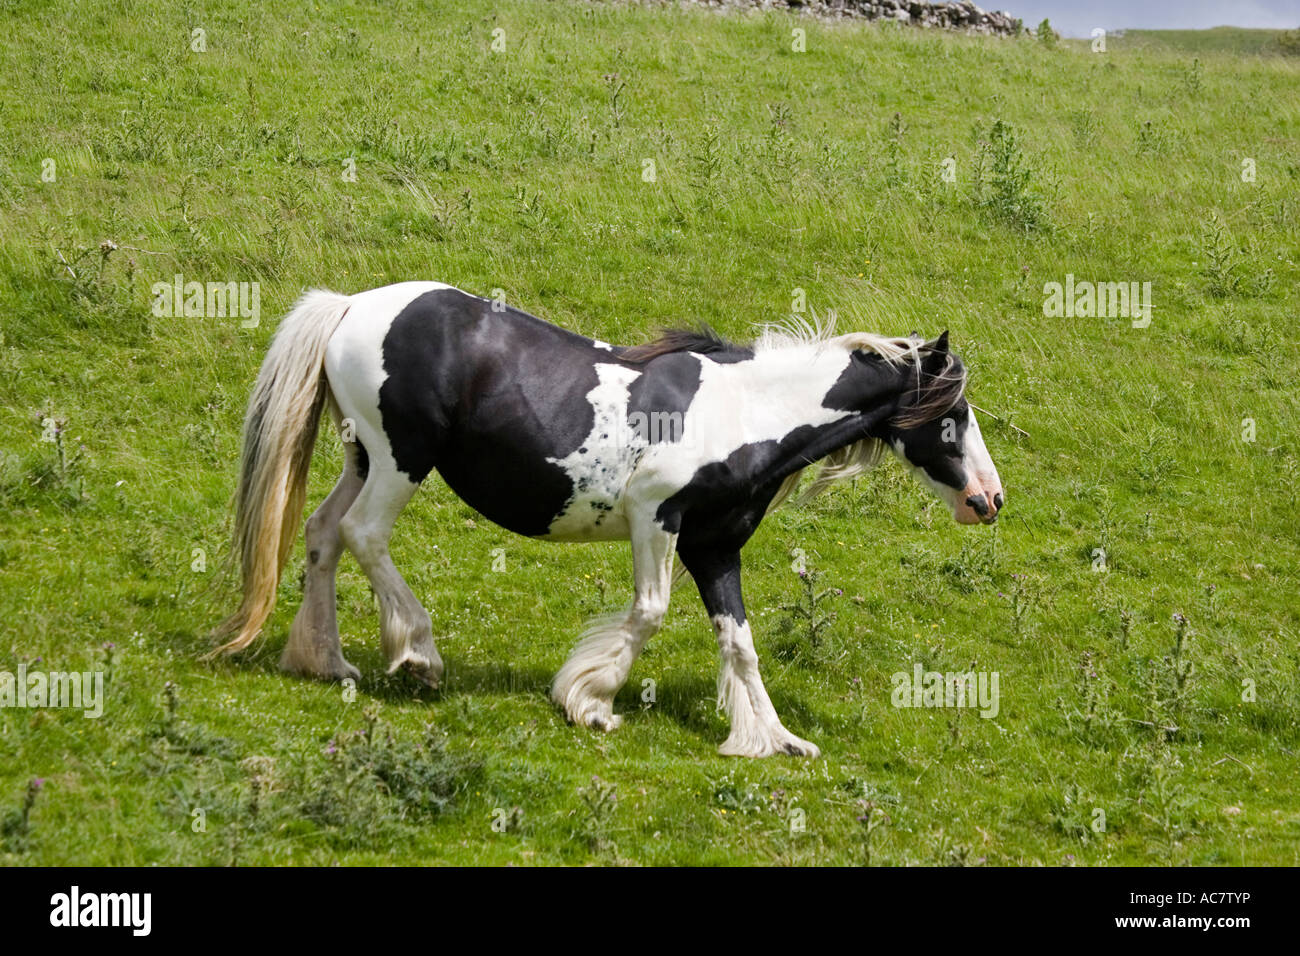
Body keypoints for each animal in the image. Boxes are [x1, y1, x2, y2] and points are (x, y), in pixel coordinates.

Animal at [211, 282, 1003, 758]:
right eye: (955, 414)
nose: (988, 501)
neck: (746, 414)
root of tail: (350, 306)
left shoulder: (714, 548)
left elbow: (740, 643)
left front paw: (773, 738)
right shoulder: (657, 517)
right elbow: (649, 614)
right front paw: (589, 701)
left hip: (363, 458)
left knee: (320, 534)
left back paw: (325, 660)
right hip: (401, 459)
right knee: (362, 535)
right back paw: (417, 656)